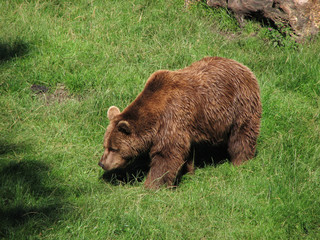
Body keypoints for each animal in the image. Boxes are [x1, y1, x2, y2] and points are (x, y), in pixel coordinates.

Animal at [99, 56, 262, 189]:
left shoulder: (172, 119)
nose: (102, 163)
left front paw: (152, 186)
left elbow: (166, 155)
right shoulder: (185, 128)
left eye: (114, 148)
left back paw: (240, 162)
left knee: (242, 134)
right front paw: (189, 171)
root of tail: (243, 66)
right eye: (105, 145)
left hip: (240, 103)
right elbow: (185, 152)